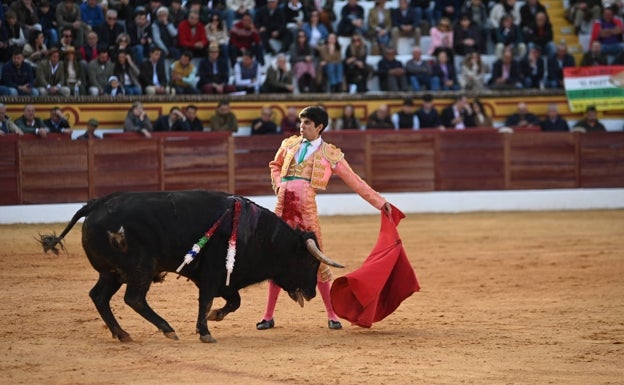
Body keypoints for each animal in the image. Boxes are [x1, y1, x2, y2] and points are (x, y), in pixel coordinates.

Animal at [40, 189, 342, 342]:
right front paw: (205, 331)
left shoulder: (224, 280)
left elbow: (233, 302)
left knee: (99, 296)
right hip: (139, 269)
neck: (255, 232)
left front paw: (213, 318)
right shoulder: (211, 276)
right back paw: (166, 329)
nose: (312, 292)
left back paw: (122, 334)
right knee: (134, 298)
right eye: (308, 261)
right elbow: (206, 301)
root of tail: (95, 205)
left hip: (112, 273)